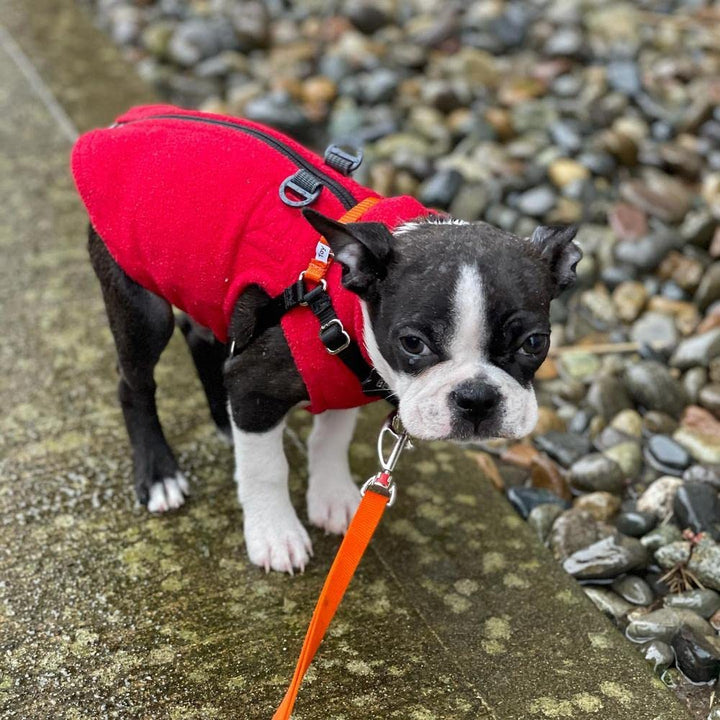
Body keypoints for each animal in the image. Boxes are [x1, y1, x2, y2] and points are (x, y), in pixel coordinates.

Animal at [71, 104, 580, 572]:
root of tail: (125, 124)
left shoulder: (345, 379)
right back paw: (160, 473)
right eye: (413, 343)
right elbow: (266, 468)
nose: (476, 399)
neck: (336, 301)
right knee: (135, 382)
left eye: (534, 343)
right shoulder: (257, 386)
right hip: (140, 306)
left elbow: (330, 439)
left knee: (201, 337)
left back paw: (223, 420)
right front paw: (275, 534)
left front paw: (333, 497)